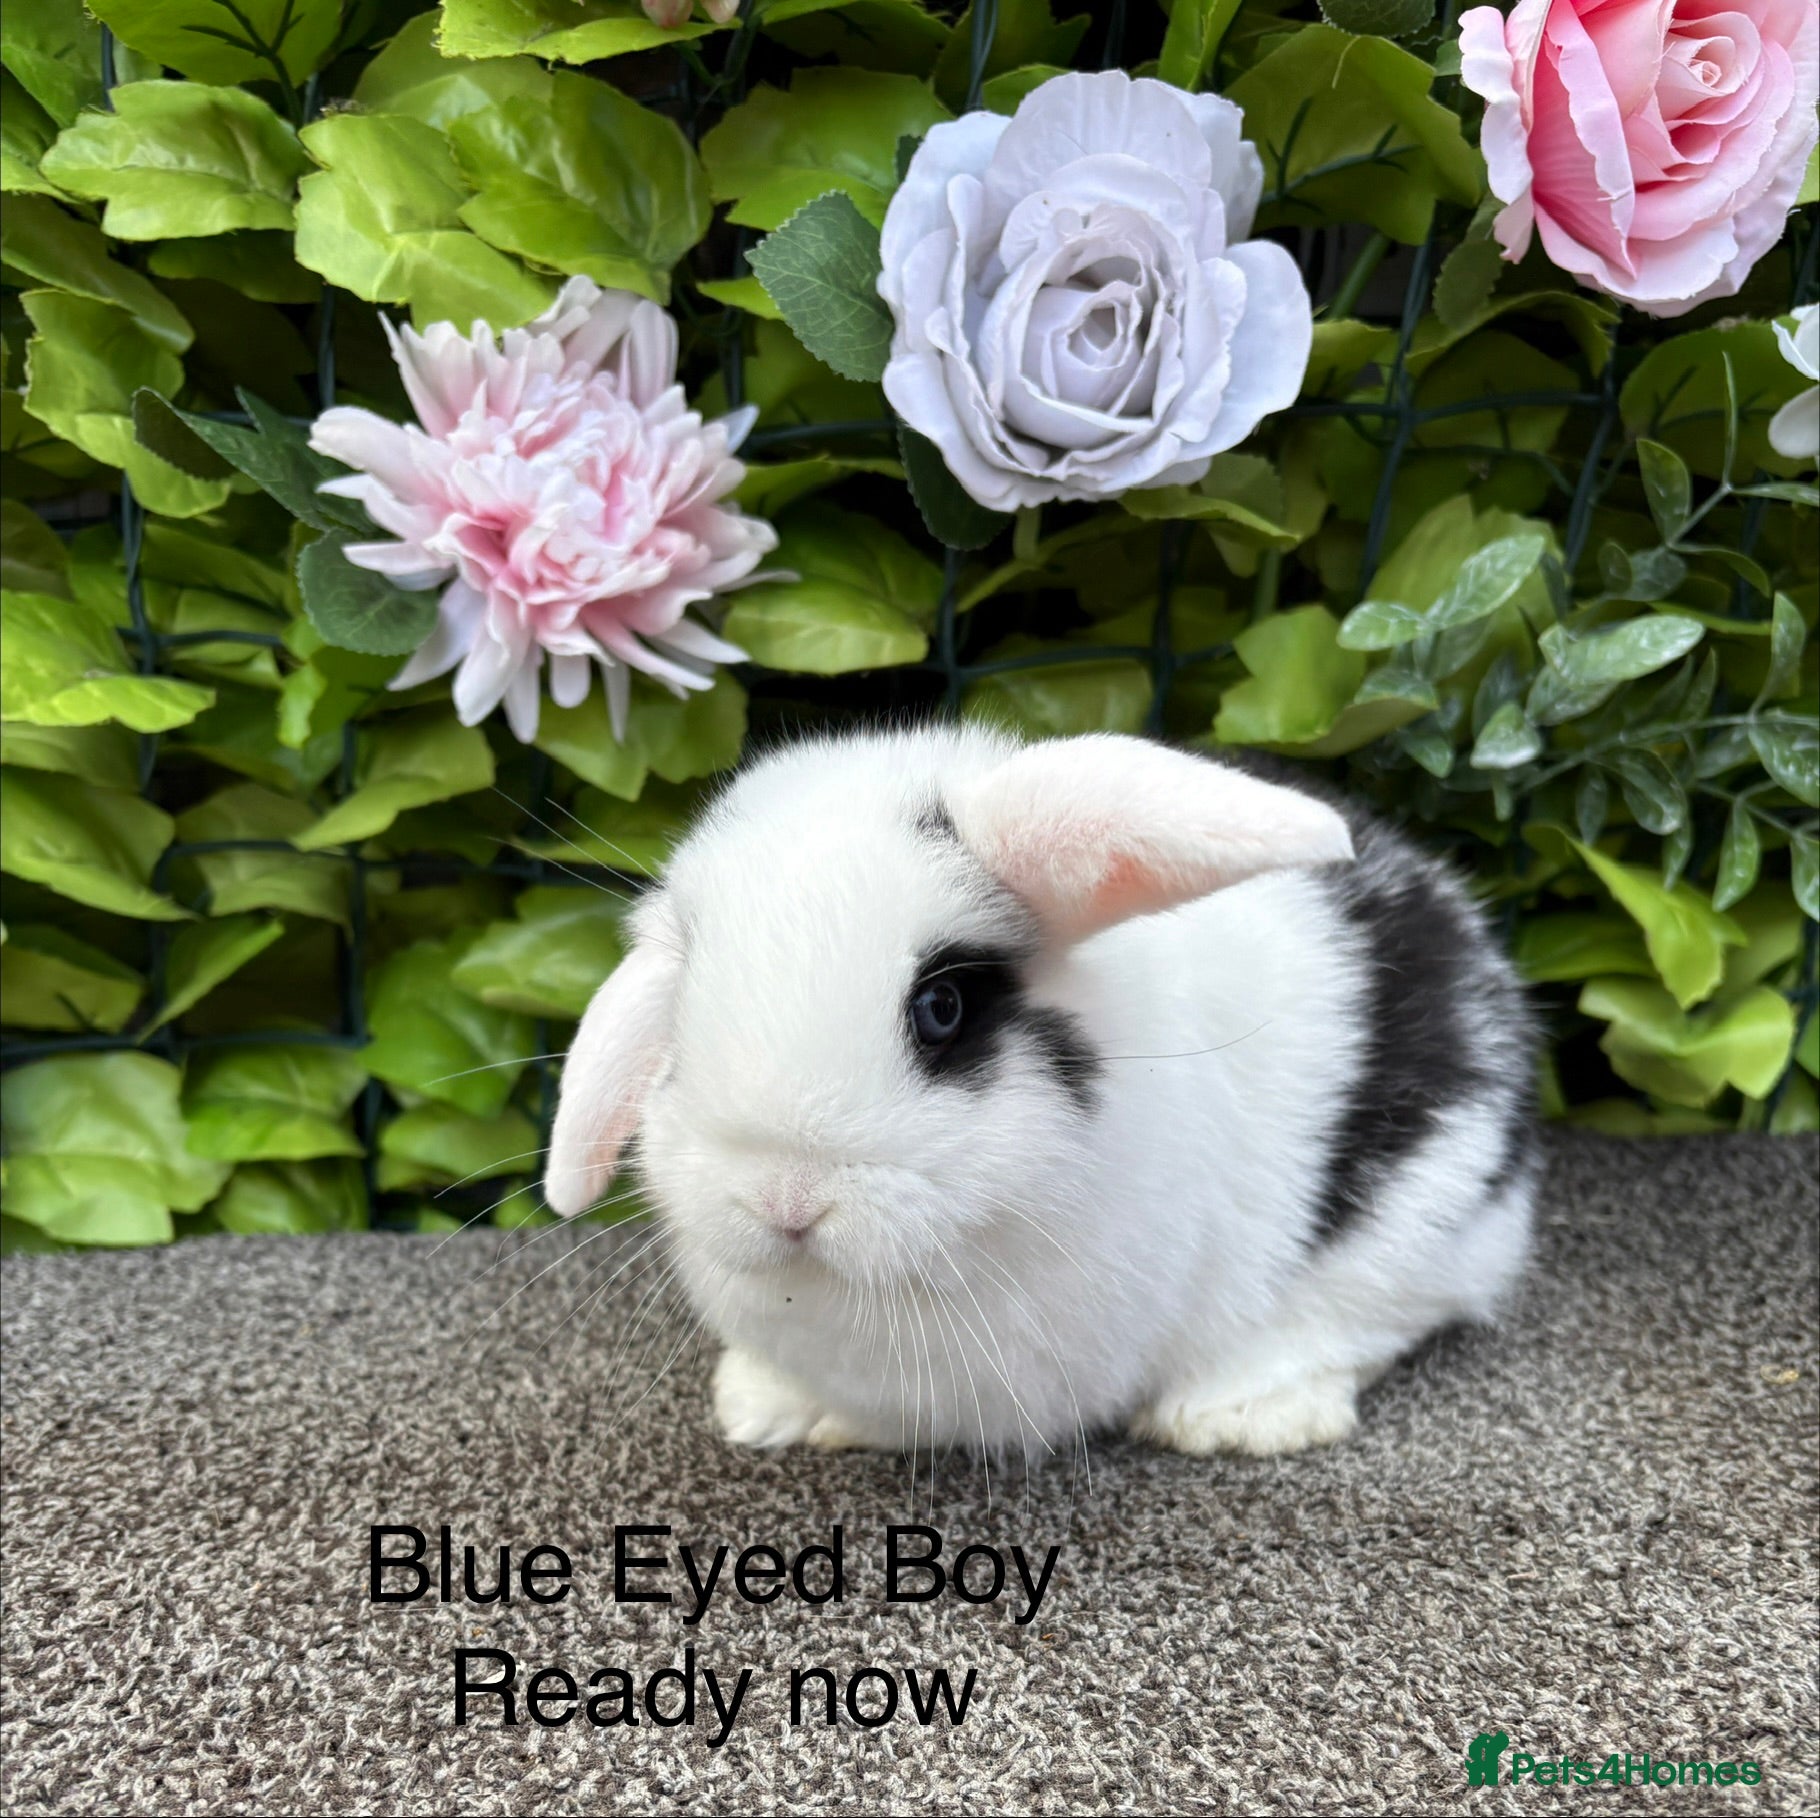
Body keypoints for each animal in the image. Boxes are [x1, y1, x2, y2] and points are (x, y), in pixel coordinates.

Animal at [544, 726, 1538, 1459]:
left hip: (1412, 1223)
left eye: (942, 1007)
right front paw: (766, 1409)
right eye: (681, 1011)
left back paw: (1238, 1416)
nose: (784, 1198)